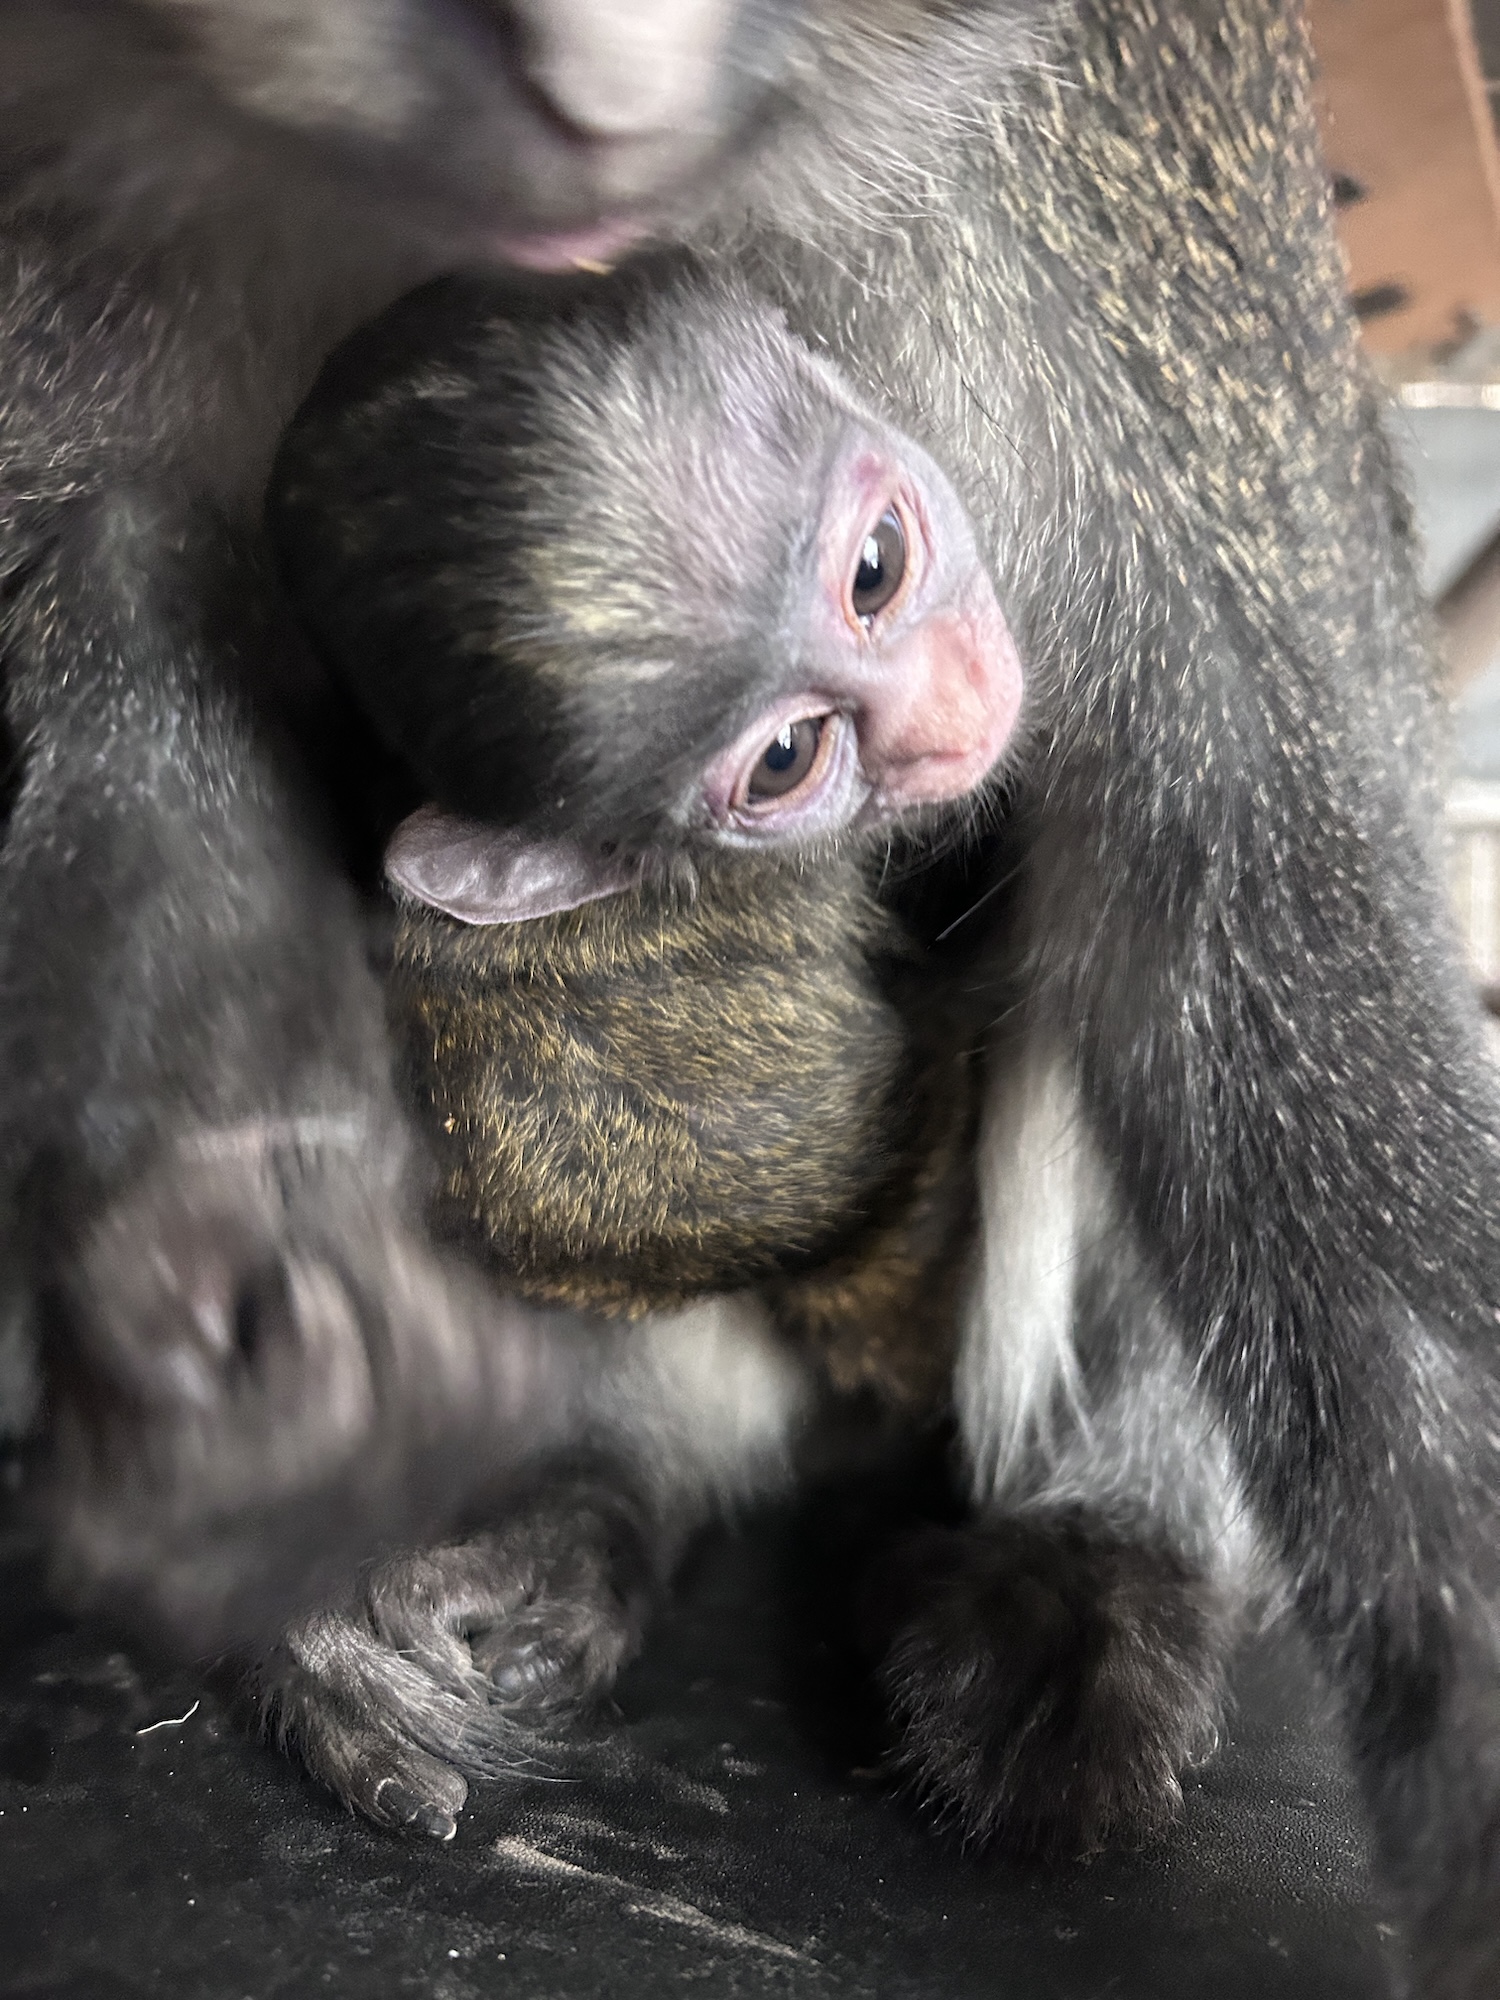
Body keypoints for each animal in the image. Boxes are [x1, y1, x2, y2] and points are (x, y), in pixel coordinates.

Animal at [6, 6, 1500, 1993]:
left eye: (878, 568)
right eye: (784, 755)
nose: (600, 94)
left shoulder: (1136, 140)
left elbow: (1261, 807)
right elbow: (125, 624)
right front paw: (241, 1346)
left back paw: (1101, 1543)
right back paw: (605, 1488)